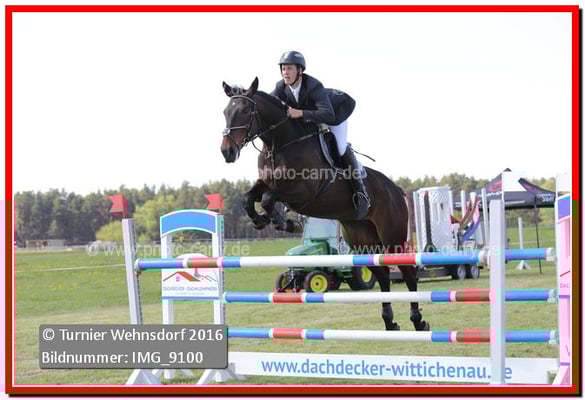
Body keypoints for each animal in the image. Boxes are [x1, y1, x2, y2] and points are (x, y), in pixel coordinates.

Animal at [220, 77, 429, 331]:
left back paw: (418, 321)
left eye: (245, 111)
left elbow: (270, 198)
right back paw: (390, 322)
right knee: (382, 274)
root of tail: (396, 189)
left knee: (407, 273)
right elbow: (248, 198)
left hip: (392, 236)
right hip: (361, 239)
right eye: (225, 112)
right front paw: (261, 220)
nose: (227, 152)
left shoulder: (304, 192)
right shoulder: (265, 183)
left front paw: (286, 223)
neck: (280, 144)